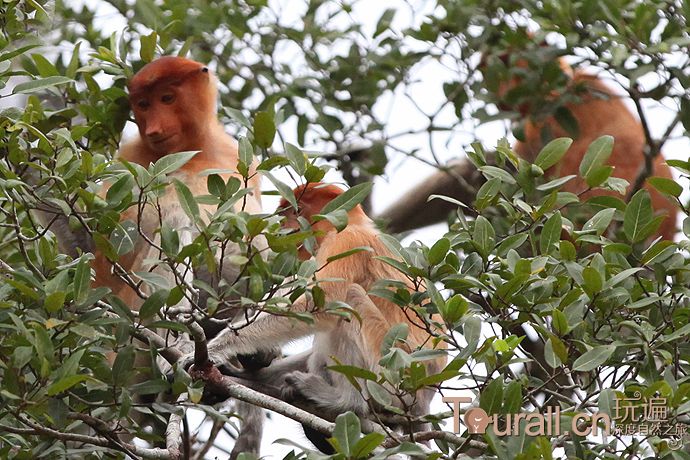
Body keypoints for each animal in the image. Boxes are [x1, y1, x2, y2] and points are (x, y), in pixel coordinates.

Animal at [184, 182, 446, 452]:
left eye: (296, 210)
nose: (283, 225)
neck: (355, 224)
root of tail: (423, 401)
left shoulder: (345, 242)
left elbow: (324, 301)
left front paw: (218, 348)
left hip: (390, 377)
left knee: (349, 299)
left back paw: (345, 402)